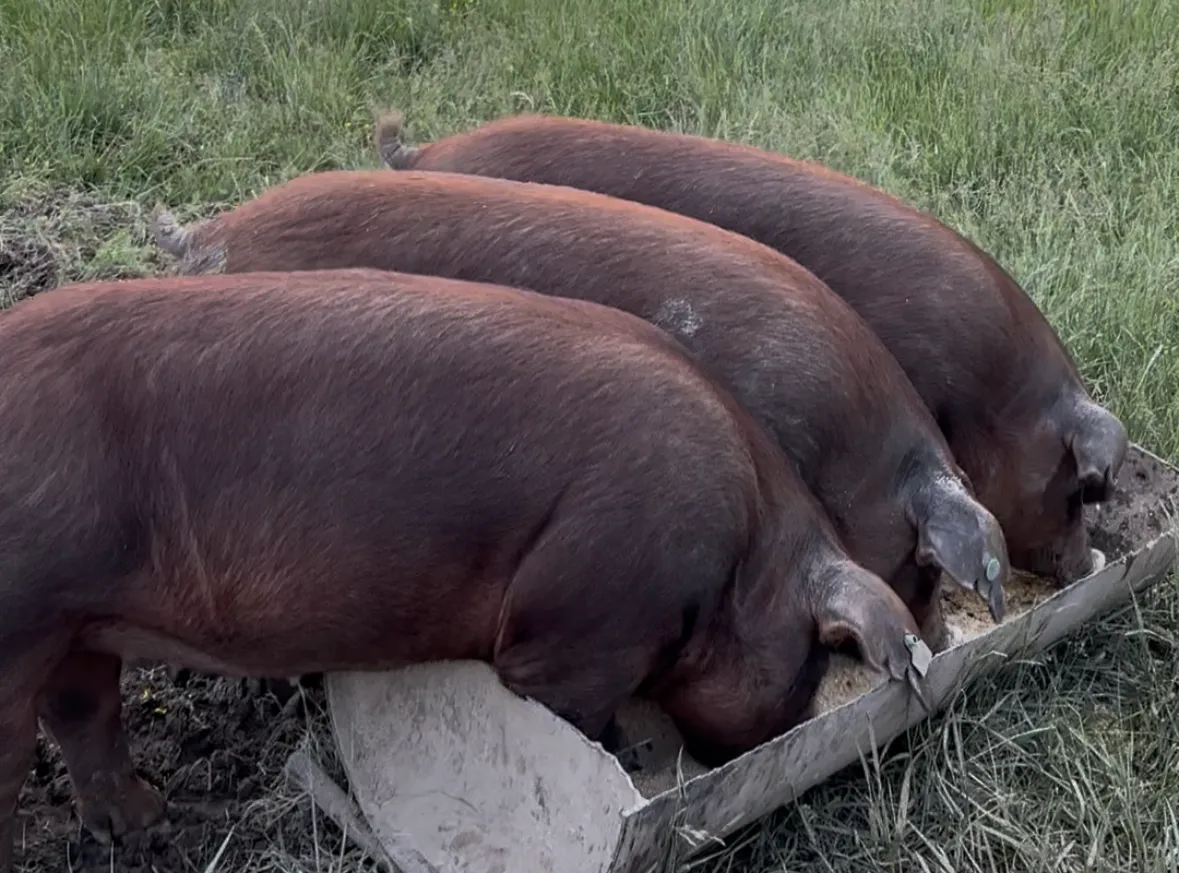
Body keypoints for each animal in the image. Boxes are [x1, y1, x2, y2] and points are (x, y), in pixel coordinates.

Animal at [0, 268, 927, 871]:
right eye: (811, 663)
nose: (730, 745)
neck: (744, 548)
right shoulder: (585, 621)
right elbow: (570, 714)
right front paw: (624, 749)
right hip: (23, 613)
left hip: (78, 618)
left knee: (84, 711)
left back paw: (147, 825)